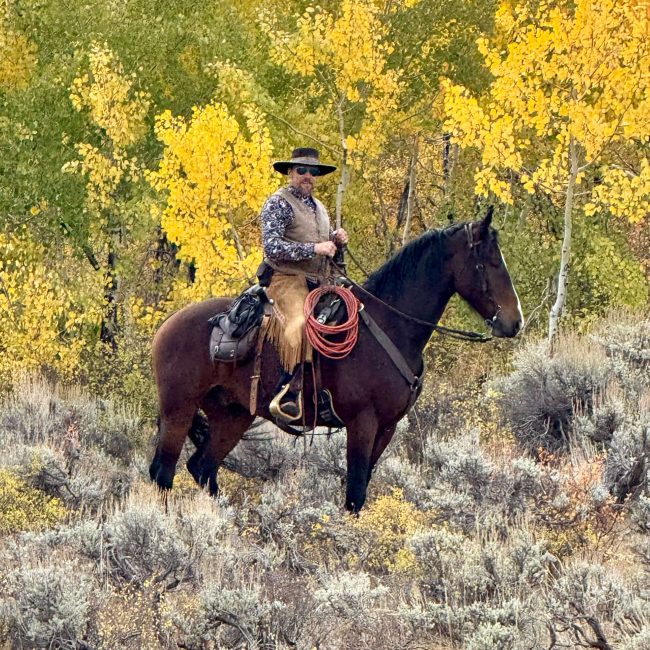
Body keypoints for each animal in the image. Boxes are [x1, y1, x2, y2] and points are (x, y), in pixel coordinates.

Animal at [149, 209, 524, 512]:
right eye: (490, 262)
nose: (514, 322)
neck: (390, 326)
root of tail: (167, 326)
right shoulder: (362, 422)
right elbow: (354, 492)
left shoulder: (387, 427)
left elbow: (363, 487)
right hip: (179, 409)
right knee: (163, 472)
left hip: (233, 415)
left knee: (202, 468)